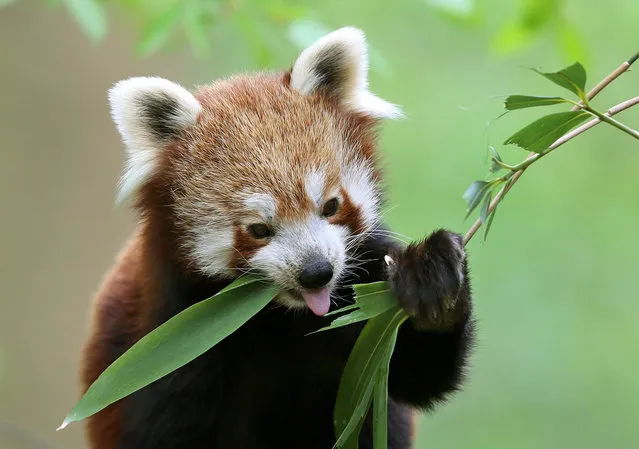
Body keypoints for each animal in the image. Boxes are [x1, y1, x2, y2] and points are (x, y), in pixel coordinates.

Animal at [81, 28, 476, 448]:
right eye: (258, 229)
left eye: (331, 205)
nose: (317, 272)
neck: (288, 320)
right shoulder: (169, 338)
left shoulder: (366, 284)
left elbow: (418, 373)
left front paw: (432, 280)